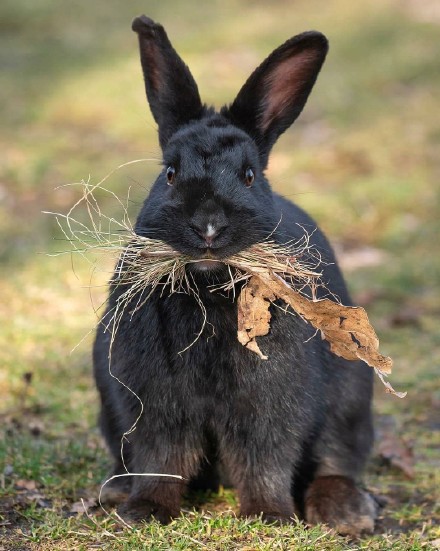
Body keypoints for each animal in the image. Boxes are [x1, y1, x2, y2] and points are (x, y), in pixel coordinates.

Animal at [93, 16, 374, 536]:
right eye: (169, 173)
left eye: (248, 175)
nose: (207, 225)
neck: (208, 287)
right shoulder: (152, 402)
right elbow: (162, 457)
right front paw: (146, 511)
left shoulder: (270, 401)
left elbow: (264, 457)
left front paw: (269, 515)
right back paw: (116, 492)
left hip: (351, 399)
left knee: (337, 458)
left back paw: (346, 513)